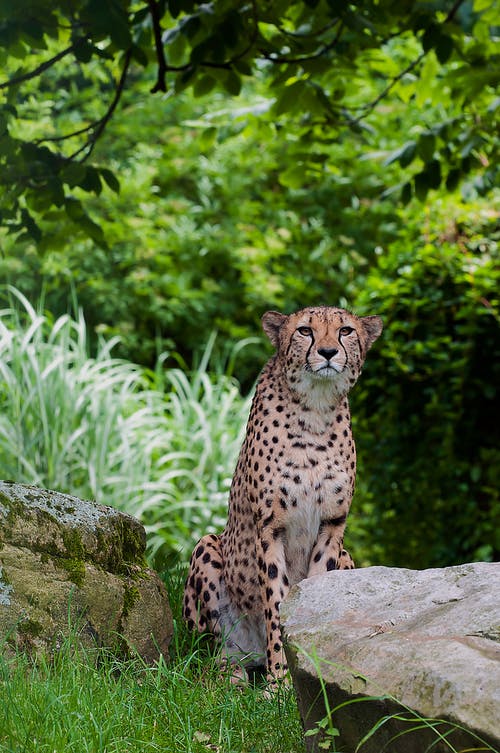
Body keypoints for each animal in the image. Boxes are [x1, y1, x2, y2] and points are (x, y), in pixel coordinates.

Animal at [184, 304, 382, 680]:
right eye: (305, 331)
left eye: (345, 331)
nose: (328, 352)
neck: (316, 410)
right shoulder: (271, 528)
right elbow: (276, 603)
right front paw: (280, 681)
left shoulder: (332, 526)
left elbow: (313, 598)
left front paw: (309, 666)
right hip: (208, 548)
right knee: (211, 656)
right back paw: (232, 676)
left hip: (348, 557)